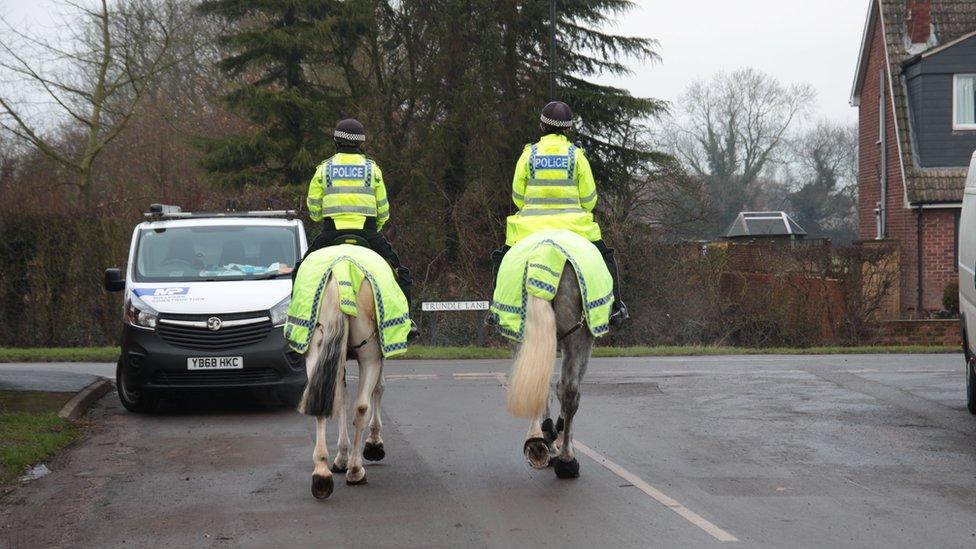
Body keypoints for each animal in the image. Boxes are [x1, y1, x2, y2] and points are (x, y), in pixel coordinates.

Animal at [300, 276, 386, 498]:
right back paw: (355, 470)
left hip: (316, 352)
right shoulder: (379, 356)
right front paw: (374, 443)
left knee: (322, 403)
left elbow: (340, 400)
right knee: (362, 407)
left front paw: (341, 457)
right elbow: (378, 388)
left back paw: (322, 474)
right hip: (370, 357)